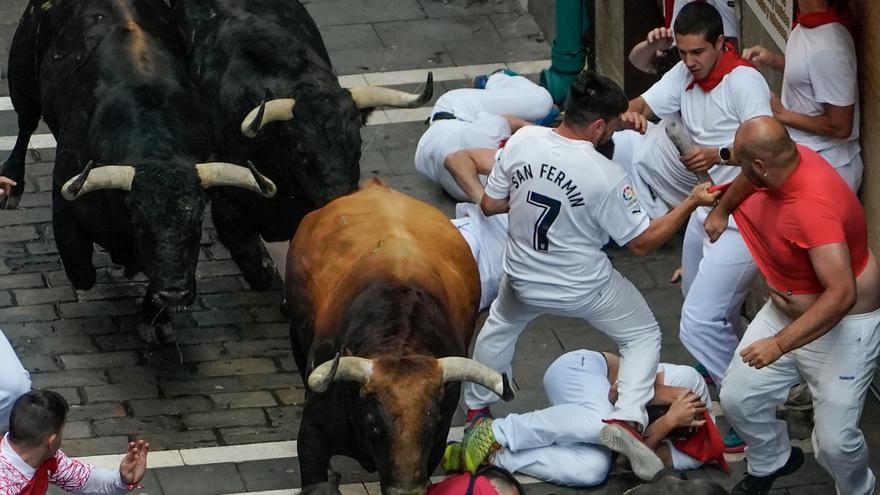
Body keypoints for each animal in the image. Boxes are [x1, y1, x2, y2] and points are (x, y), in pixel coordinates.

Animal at [0, 0, 276, 340]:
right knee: (26, 121)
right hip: (22, 69)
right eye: (140, 221)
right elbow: (82, 272)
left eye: (197, 222)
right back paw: (12, 184)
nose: (175, 293)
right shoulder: (66, 205)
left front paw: (156, 317)